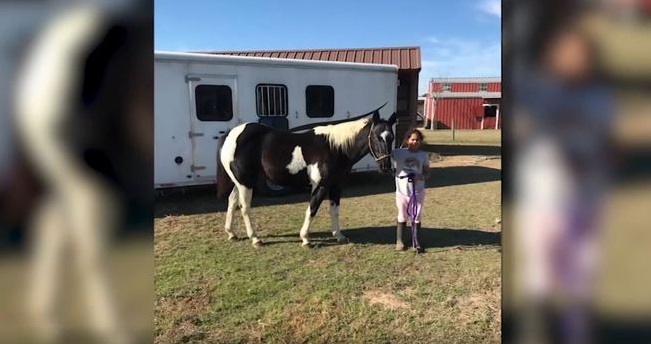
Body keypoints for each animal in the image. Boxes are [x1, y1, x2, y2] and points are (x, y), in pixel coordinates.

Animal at [218, 110, 398, 247]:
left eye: (391, 137)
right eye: (375, 136)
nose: (385, 167)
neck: (335, 148)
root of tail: (231, 134)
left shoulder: (336, 186)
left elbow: (334, 211)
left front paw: (339, 236)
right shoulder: (321, 186)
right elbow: (312, 209)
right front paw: (305, 239)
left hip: (240, 182)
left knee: (232, 201)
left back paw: (231, 233)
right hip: (245, 183)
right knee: (244, 207)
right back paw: (255, 239)